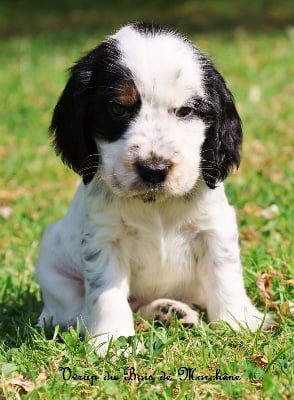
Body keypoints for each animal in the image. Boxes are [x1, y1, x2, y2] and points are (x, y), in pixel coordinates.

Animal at [35, 22, 274, 354]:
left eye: (185, 111)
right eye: (117, 109)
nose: (154, 169)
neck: (156, 205)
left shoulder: (215, 227)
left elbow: (225, 274)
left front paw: (238, 321)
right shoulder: (104, 238)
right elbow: (106, 293)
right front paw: (112, 340)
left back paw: (170, 311)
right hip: (51, 260)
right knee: (76, 312)